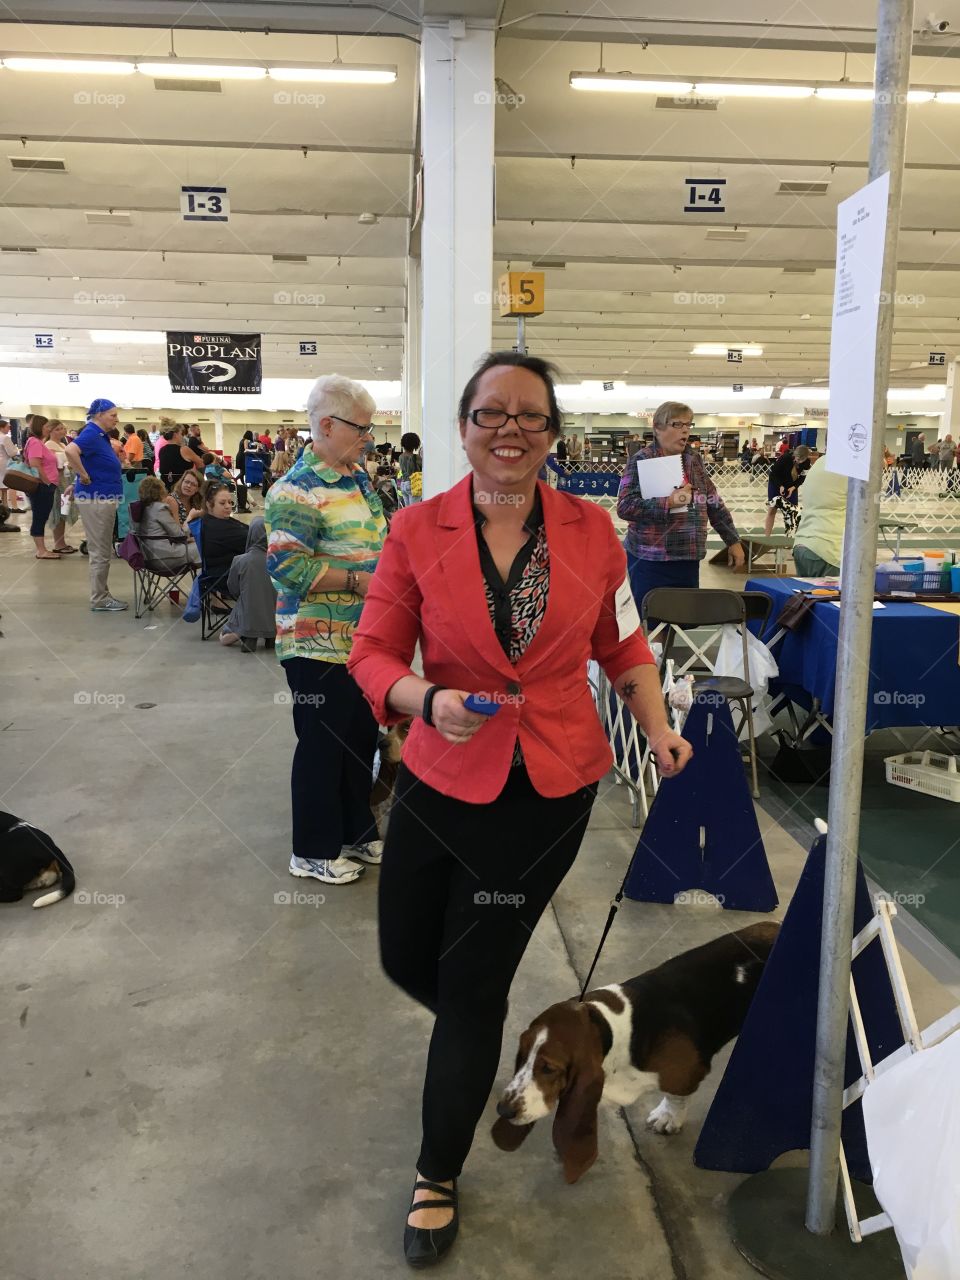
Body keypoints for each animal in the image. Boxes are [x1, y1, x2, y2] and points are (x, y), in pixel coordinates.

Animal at [491, 921, 778, 1177]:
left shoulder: (685, 1074)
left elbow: (676, 1097)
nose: (504, 1111)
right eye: (521, 1055)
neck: (611, 1028)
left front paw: (668, 1118)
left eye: (549, 1068)